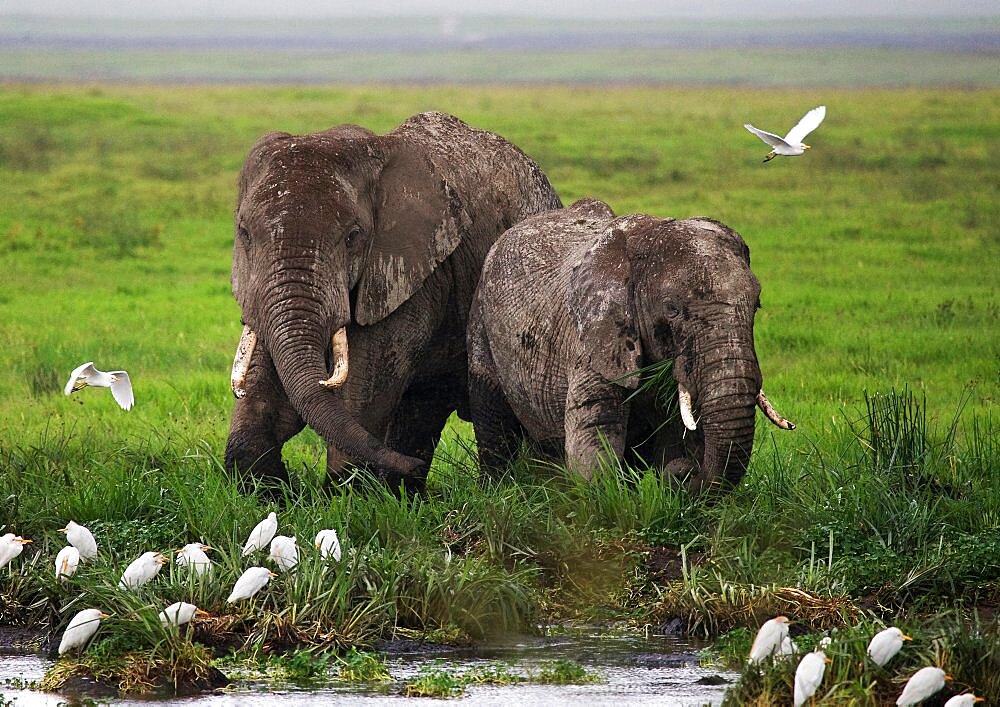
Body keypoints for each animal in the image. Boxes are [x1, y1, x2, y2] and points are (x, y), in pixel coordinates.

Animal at [226, 113, 564, 490]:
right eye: (244, 233)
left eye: (353, 237)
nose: (410, 466)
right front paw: (266, 490)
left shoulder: (414, 272)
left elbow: (368, 380)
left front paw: (345, 492)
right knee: (422, 406)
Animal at [464, 198, 792, 492]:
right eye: (671, 309)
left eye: (757, 305)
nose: (685, 475)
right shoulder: (595, 339)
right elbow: (595, 431)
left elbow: (680, 432)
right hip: (480, 319)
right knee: (491, 409)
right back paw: (497, 491)